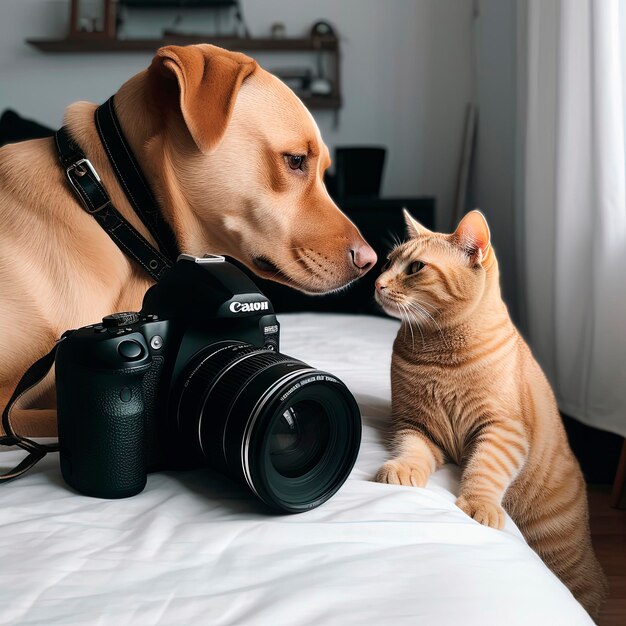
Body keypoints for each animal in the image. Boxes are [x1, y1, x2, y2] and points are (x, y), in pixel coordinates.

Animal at [376, 208, 604, 616]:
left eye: (415, 267)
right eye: (388, 262)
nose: (377, 281)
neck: (438, 354)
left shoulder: (501, 431)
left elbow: (484, 469)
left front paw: (478, 505)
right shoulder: (416, 425)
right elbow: (411, 451)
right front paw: (402, 470)